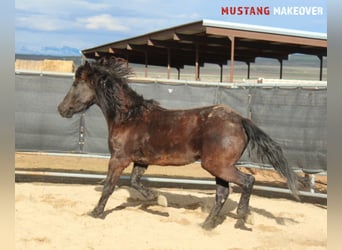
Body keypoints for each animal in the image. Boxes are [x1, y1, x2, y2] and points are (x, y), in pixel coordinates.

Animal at [58, 55, 300, 229]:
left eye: (76, 84)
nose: (61, 109)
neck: (128, 117)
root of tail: (240, 119)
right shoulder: (141, 161)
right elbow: (135, 182)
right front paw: (158, 199)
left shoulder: (119, 159)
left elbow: (109, 186)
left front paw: (96, 213)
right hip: (218, 167)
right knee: (223, 193)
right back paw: (207, 224)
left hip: (217, 165)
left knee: (248, 180)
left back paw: (242, 216)